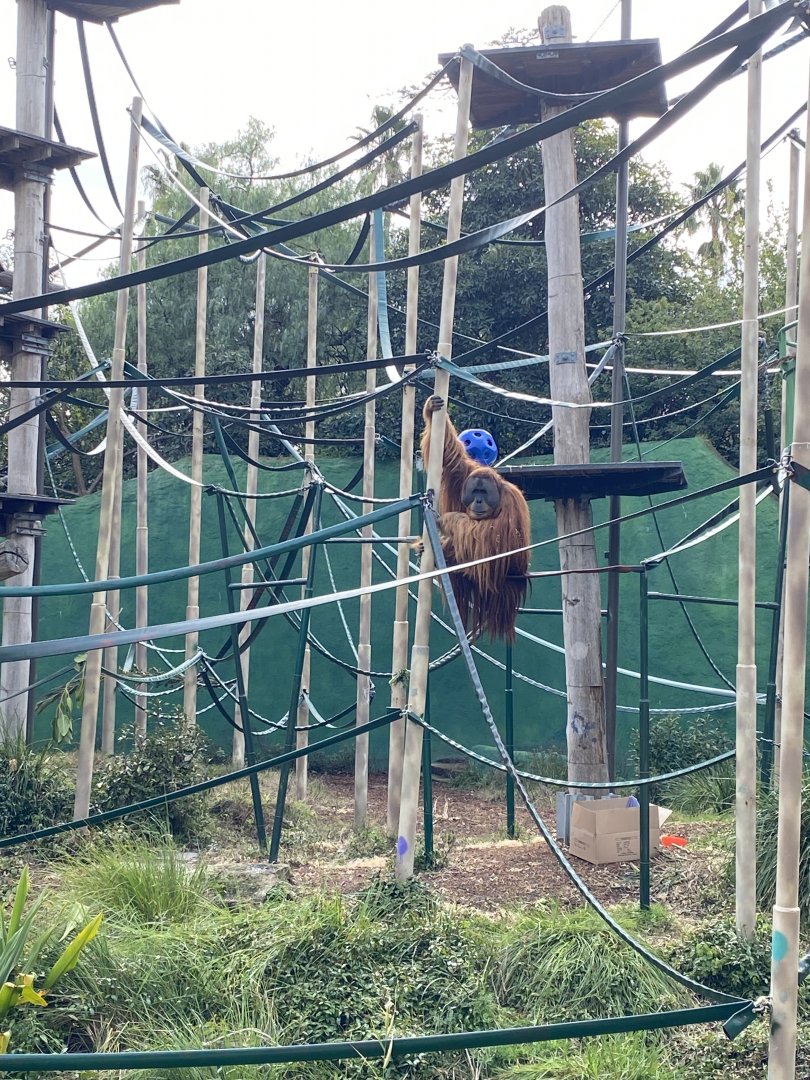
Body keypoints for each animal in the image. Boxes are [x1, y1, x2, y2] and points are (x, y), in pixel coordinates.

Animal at [419, 395, 531, 642]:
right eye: (475, 492)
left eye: (484, 493)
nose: (478, 501)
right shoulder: (465, 474)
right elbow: (451, 458)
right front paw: (431, 408)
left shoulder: (511, 504)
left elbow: (495, 539)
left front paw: (448, 519)